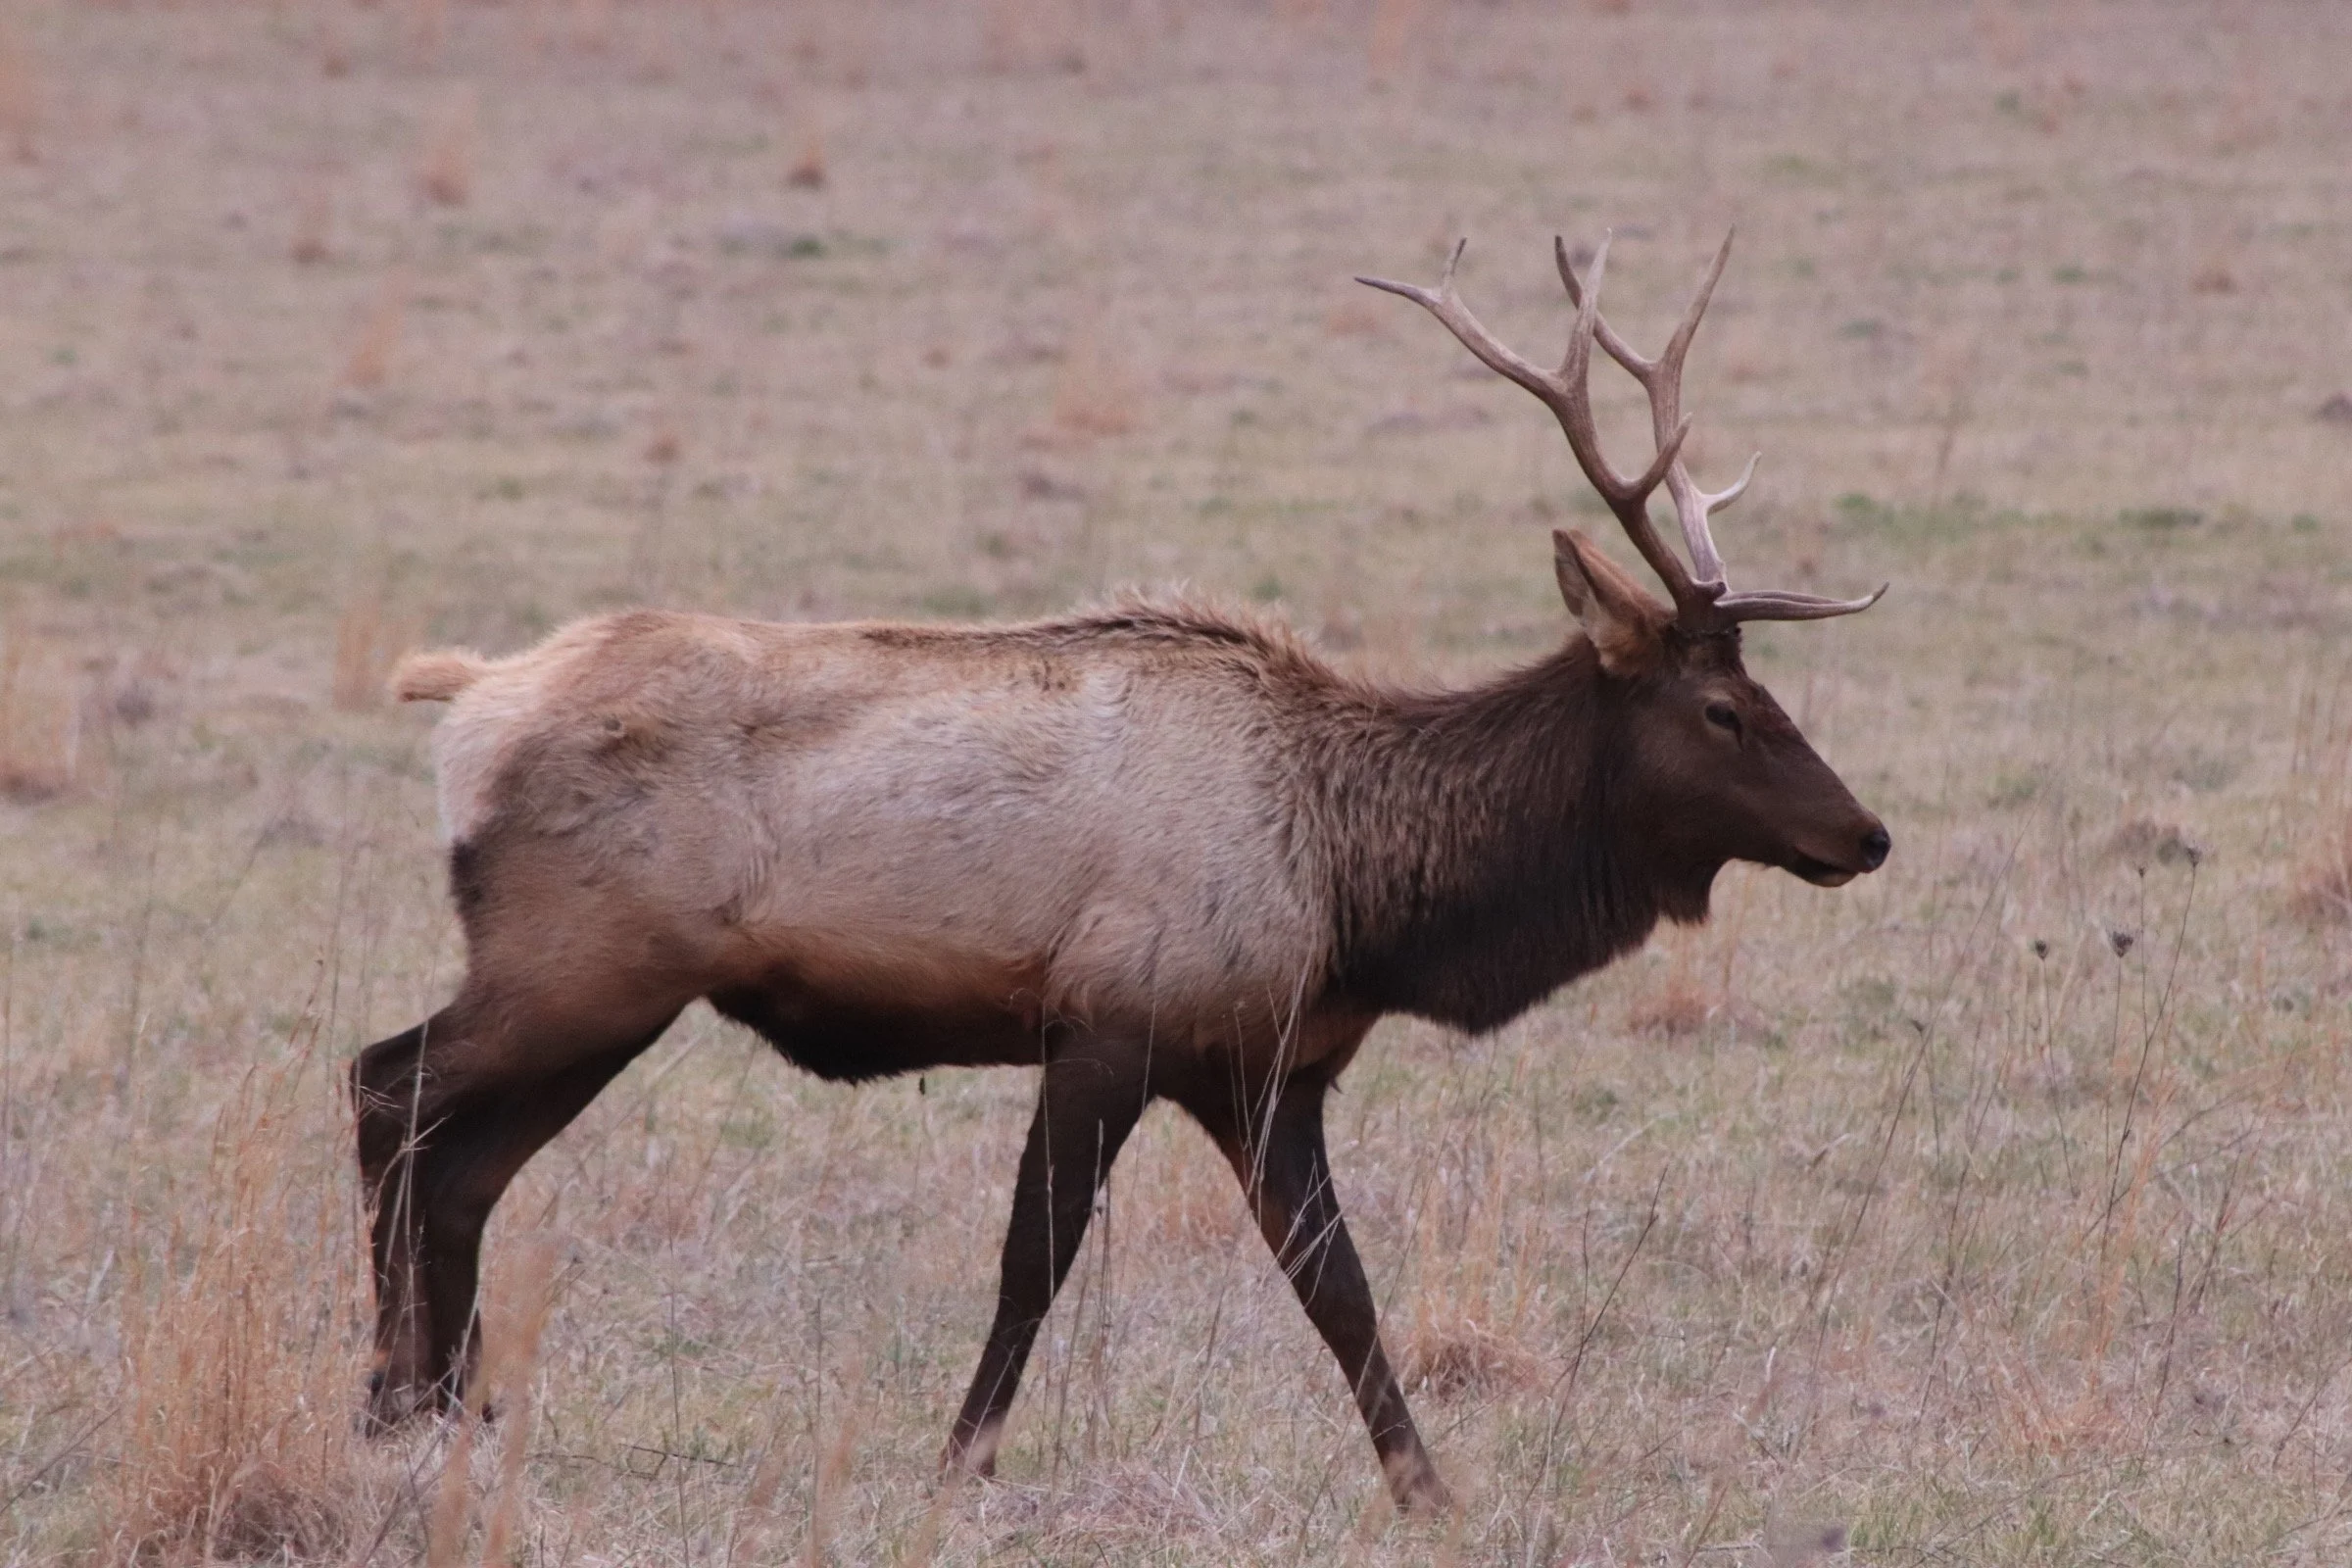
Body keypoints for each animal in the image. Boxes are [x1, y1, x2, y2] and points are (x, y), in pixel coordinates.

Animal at [354, 231, 1889, 1513]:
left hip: (603, 987)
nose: (1866, 834)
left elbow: (1338, 1286)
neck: (1362, 895)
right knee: (390, 1088)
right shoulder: (1111, 1018)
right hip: (584, 959)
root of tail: (469, 698)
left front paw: (1427, 1487)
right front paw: (959, 1460)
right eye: (1724, 711)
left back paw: (455, 1403)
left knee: (465, 1162)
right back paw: (391, 1401)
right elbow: (1033, 1257)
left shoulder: (1267, 1064)